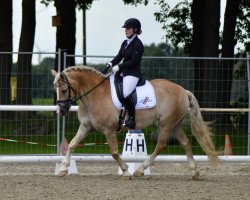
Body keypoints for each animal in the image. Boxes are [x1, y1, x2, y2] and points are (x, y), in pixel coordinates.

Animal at [51, 65, 220, 180]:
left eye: (64, 90)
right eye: (55, 90)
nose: (62, 110)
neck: (95, 94)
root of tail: (182, 90)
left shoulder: (108, 130)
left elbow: (114, 152)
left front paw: (126, 171)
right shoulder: (86, 127)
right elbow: (72, 144)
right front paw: (63, 169)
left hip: (166, 124)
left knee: (161, 145)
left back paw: (139, 170)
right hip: (175, 125)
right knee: (185, 143)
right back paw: (194, 172)